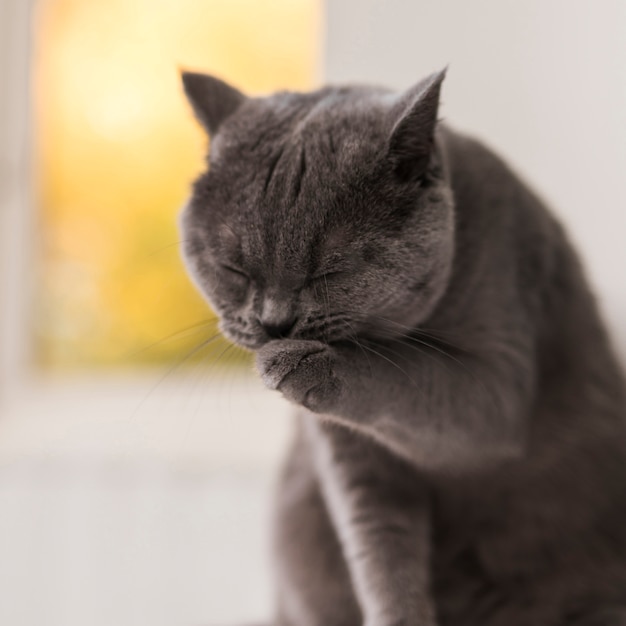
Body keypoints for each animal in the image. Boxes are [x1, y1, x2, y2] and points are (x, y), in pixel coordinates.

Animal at [177, 68, 624, 624]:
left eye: (331, 270)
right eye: (234, 269)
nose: (274, 323)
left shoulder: (500, 383)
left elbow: (409, 377)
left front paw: (305, 365)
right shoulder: (350, 457)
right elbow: (380, 552)